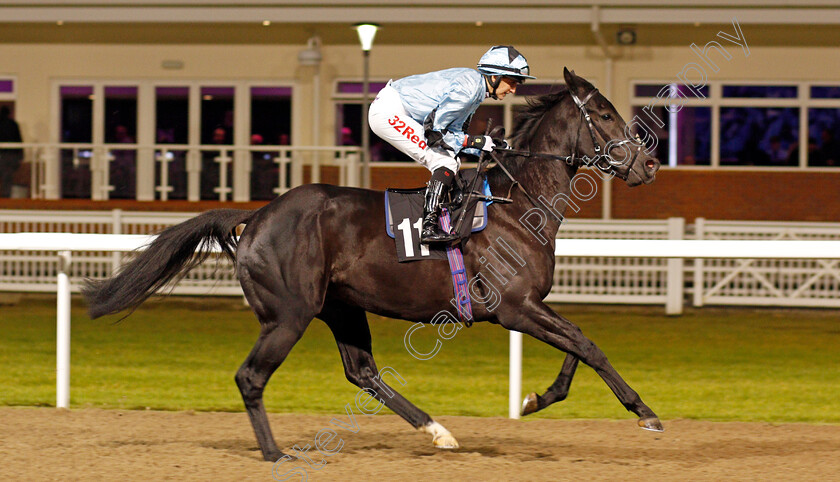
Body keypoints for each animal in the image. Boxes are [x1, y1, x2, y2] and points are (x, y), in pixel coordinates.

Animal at [85, 68, 664, 464]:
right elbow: (587, 345)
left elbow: (579, 347)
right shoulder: (514, 308)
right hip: (289, 314)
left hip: (341, 307)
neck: (516, 204)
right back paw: (274, 453)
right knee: (251, 377)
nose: (650, 163)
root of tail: (258, 215)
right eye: (605, 114)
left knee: (361, 371)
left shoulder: (530, 305)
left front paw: (535, 399)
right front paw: (646, 413)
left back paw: (437, 430)